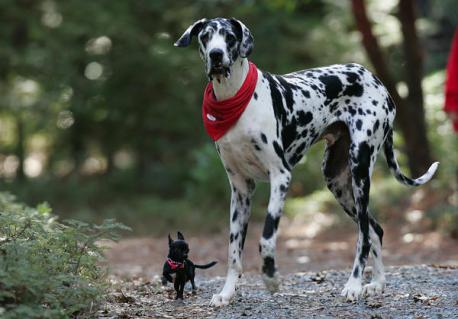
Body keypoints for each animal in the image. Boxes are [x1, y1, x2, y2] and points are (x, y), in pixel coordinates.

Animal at [174, 18, 438, 308]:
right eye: (206, 36)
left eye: (230, 37)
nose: (216, 55)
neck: (235, 99)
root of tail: (375, 78)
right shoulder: (241, 190)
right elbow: (233, 252)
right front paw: (227, 292)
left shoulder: (281, 177)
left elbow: (266, 238)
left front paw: (271, 278)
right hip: (337, 182)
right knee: (375, 230)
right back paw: (377, 284)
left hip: (359, 172)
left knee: (363, 236)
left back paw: (354, 285)